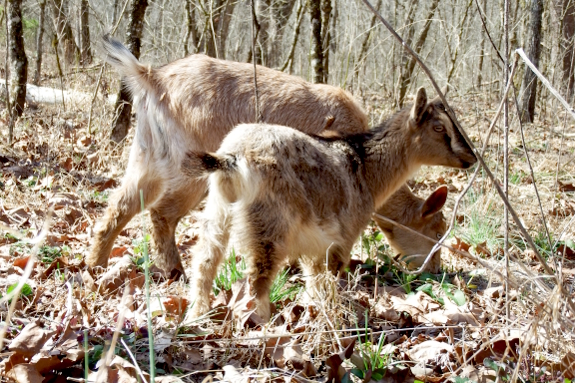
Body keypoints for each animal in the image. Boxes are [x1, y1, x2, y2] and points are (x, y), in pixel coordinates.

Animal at [89, 35, 450, 276]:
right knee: (161, 212)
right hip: (191, 164)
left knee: (120, 204)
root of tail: (152, 77)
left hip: (146, 154)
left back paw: (96, 263)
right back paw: (174, 270)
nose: (435, 269)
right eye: (435, 232)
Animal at [184, 88, 476, 320]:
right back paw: (262, 324)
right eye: (439, 128)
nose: (470, 157)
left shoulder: (315, 245)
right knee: (258, 278)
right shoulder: (343, 236)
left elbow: (314, 280)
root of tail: (233, 157)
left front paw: (315, 311)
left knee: (205, 261)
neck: (366, 167)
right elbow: (330, 278)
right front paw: (331, 318)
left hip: (218, 209)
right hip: (270, 222)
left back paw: (196, 316)